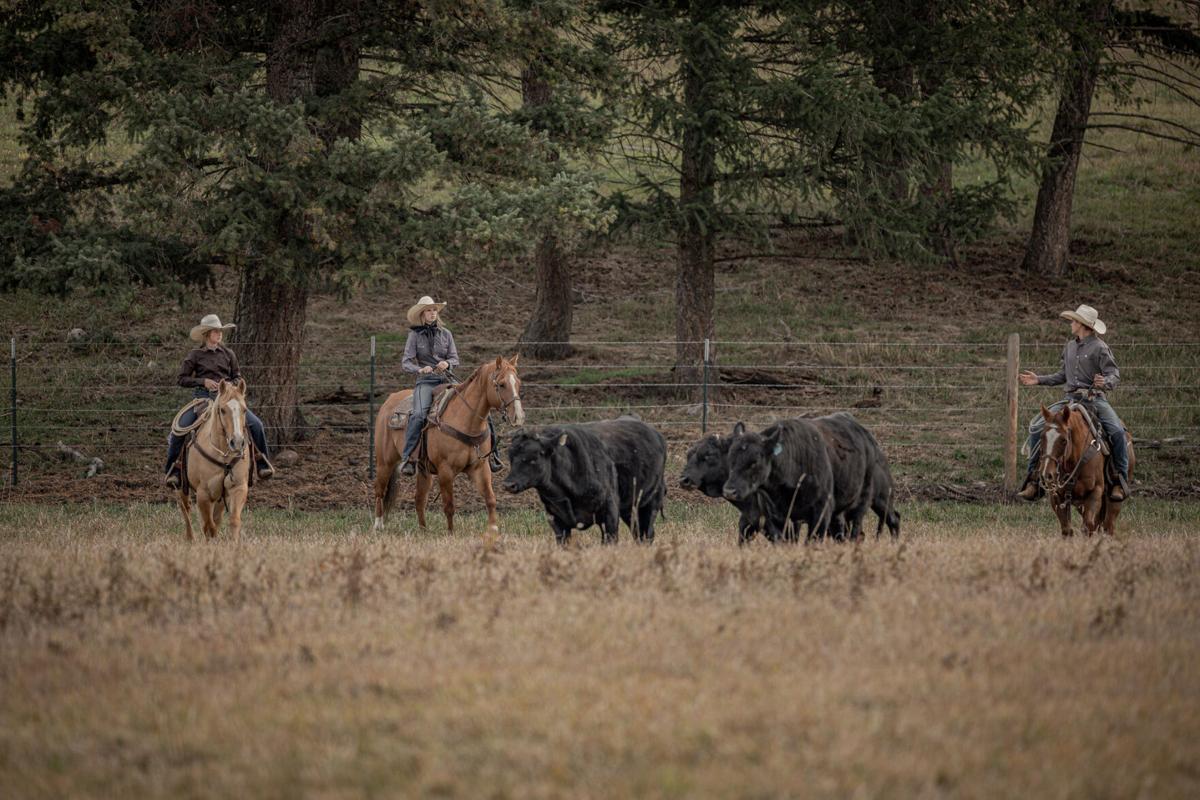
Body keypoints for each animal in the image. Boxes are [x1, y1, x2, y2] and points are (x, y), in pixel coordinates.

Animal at [502, 417, 667, 544]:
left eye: (533, 458)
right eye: (511, 458)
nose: (508, 484)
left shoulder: (610, 511)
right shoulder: (555, 519)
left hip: (651, 502)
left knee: (647, 534)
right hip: (630, 508)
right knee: (638, 533)